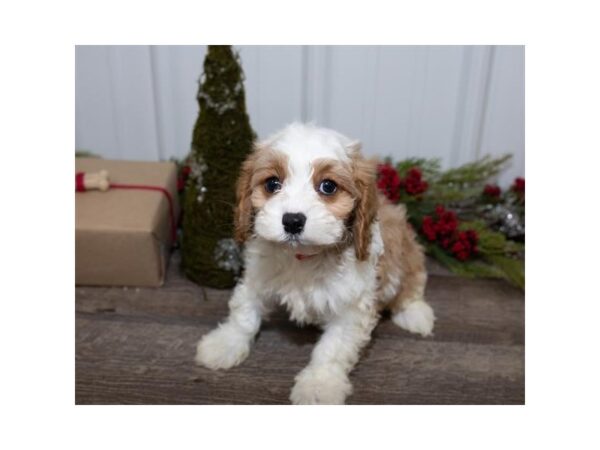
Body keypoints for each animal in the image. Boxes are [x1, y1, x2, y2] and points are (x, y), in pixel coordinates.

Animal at [197, 122, 436, 404]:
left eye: (328, 187)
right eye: (272, 183)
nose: (292, 221)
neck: (302, 257)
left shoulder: (351, 308)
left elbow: (331, 350)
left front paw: (318, 386)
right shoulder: (256, 277)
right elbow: (244, 313)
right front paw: (224, 343)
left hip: (407, 252)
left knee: (413, 282)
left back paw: (415, 314)